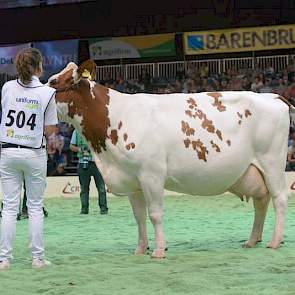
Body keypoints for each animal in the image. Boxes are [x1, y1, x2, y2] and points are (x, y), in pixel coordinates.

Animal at [48, 60, 292, 260]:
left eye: (53, 82)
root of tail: (272, 96)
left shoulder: (152, 174)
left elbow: (155, 214)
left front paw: (158, 251)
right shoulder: (132, 179)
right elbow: (139, 216)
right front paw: (140, 249)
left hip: (272, 162)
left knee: (280, 198)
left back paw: (275, 241)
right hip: (254, 169)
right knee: (261, 200)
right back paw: (252, 240)